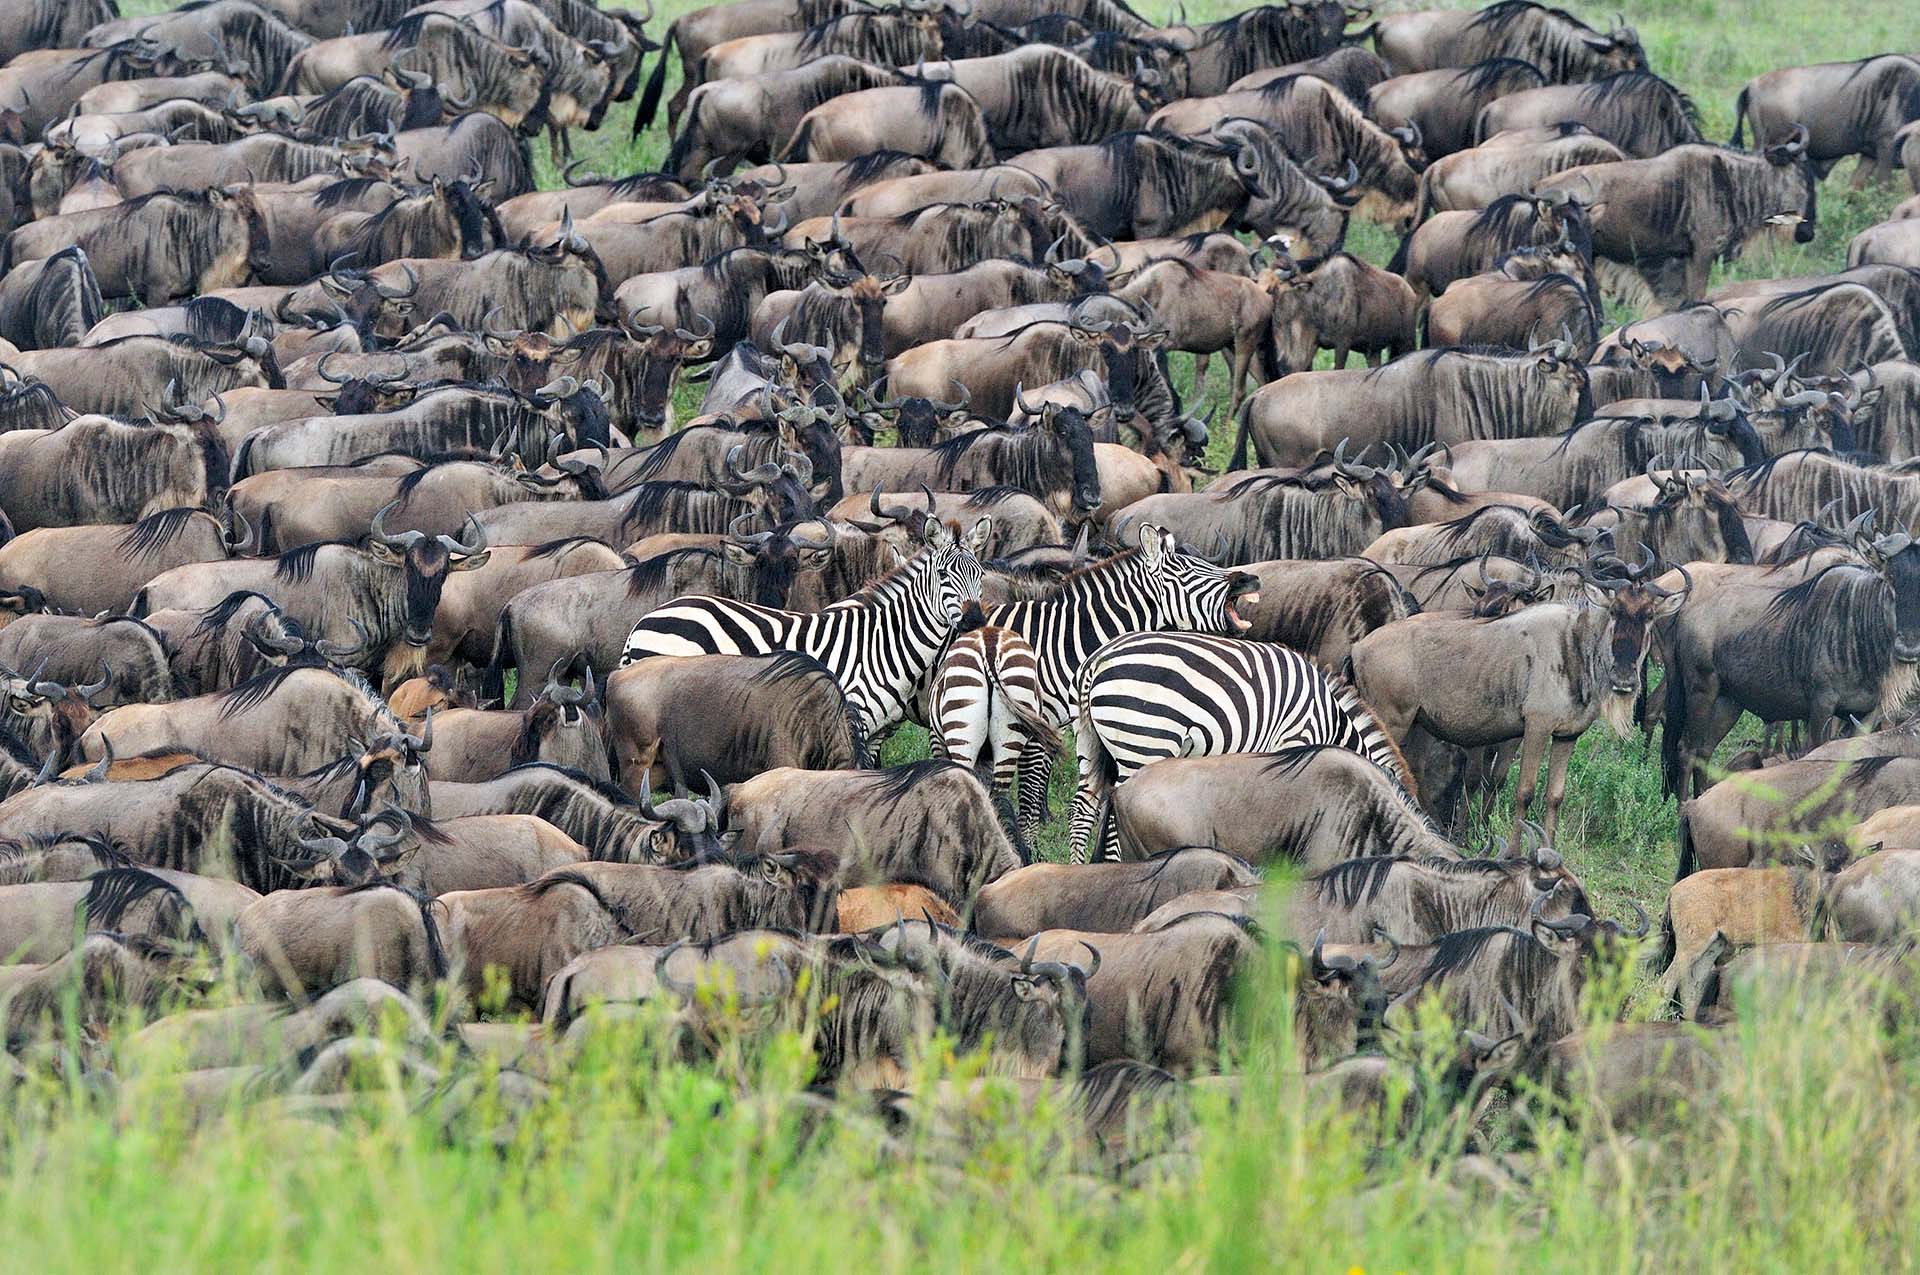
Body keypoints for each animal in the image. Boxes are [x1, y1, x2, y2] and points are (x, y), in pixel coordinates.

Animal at [618, 518, 990, 737]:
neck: (883, 643)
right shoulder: (852, 713)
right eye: (943, 575)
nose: (974, 621)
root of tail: (644, 622)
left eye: (980, 574)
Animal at [975, 522, 1259, 841]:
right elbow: (1030, 789)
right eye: (1189, 572)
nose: (1249, 578)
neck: (1060, 639)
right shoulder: (1033, 723)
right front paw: (1029, 845)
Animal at [1067, 633, 1413, 860]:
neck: (1330, 719)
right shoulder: (1296, 740)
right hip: (1144, 740)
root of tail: (1097, 661)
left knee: (1082, 808)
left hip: (1089, 740)